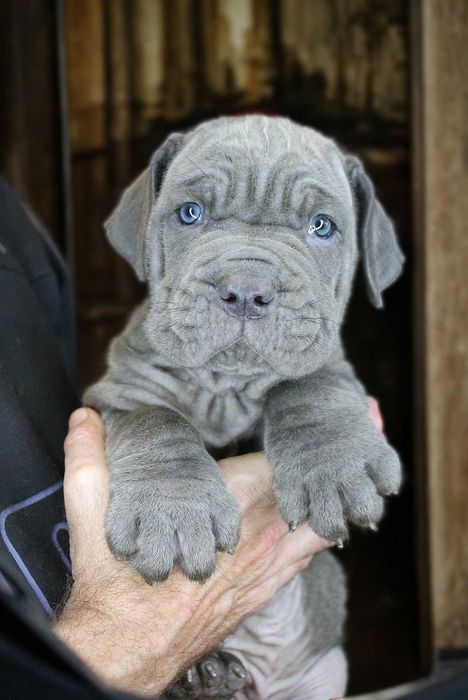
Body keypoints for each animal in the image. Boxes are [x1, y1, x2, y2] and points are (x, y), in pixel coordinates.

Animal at [85, 115, 404, 699]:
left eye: (322, 226)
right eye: (191, 213)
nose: (247, 289)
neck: (224, 387)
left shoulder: (324, 356)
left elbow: (308, 385)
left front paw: (335, 464)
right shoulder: (117, 393)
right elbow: (155, 420)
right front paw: (174, 509)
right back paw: (205, 674)